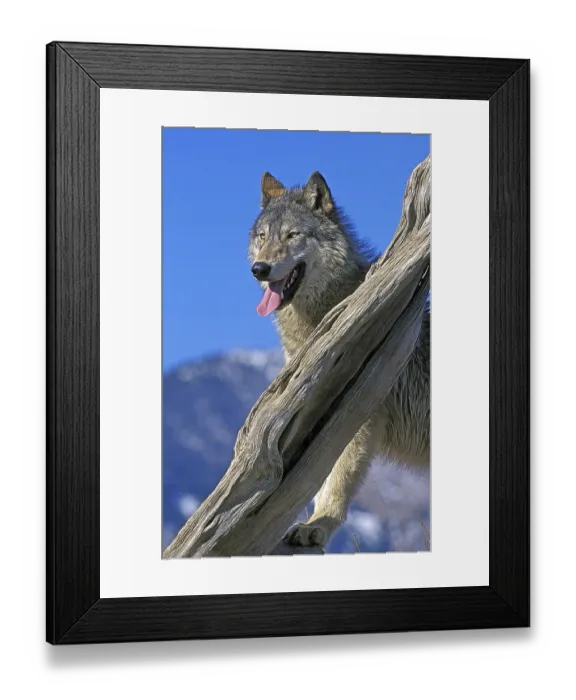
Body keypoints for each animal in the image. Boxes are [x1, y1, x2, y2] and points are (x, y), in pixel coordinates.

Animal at [249, 171, 430, 549]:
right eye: (262, 237)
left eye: (292, 235)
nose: (259, 268)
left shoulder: (358, 414)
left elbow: (335, 480)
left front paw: (316, 526)